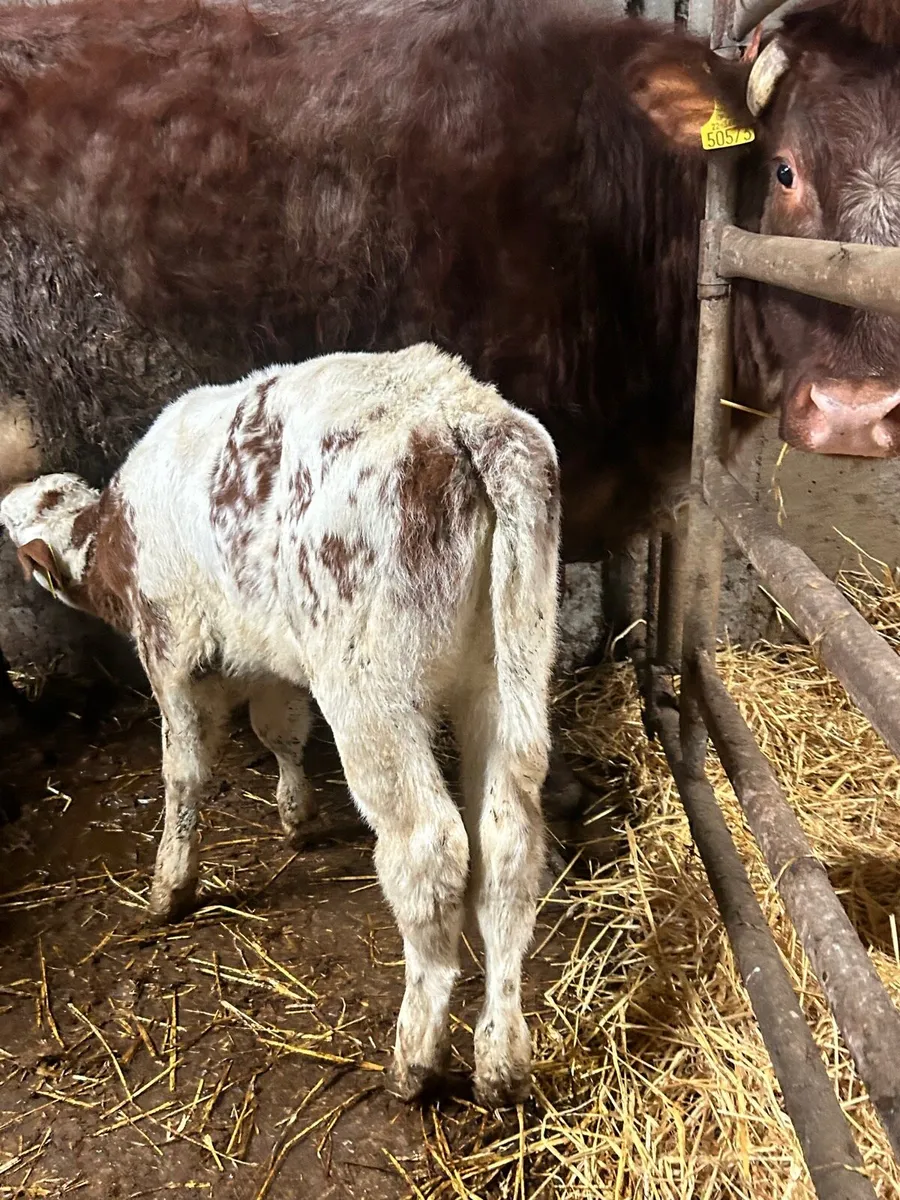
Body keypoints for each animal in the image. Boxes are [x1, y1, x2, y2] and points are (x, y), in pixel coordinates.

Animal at [0, 343, 561, 1106]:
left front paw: (170, 885)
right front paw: (297, 817)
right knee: (508, 840)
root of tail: (454, 405)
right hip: (508, 675)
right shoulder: (268, 653)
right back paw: (501, 1058)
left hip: (371, 691)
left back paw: (415, 1057)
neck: (119, 534)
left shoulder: (171, 651)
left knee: (430, 848)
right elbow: (282, 730)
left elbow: (184, 773)